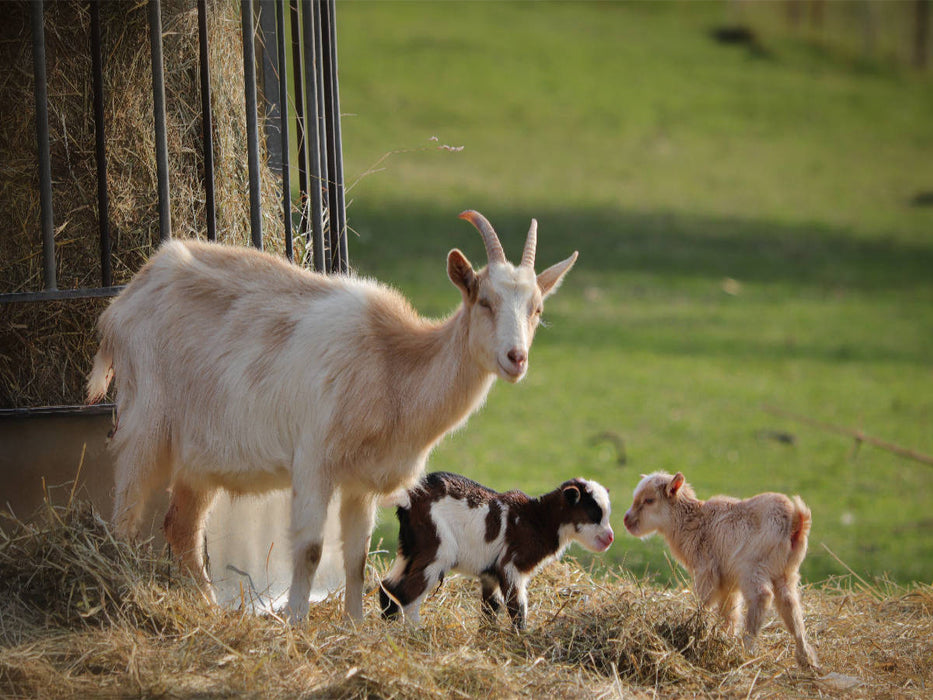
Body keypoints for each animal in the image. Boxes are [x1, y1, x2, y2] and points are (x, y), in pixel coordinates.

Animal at [86, 210, 577, 622]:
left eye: (537, 309)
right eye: (484, 301)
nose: (516, 358)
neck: (392, 364)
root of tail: (121, 304)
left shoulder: (360, 480)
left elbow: (355, 556)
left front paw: (355, 627)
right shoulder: (314, 461)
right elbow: (309, 548)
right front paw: (297, 624)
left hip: (199, 456)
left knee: (181, 528)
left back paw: (209, 609)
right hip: (145, 423)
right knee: (124, 517)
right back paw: (121, 594)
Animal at [379, 471, 614, 629]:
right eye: (594, 513)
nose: (610, 537)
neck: (538, 519)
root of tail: (409, 498)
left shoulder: (489, 574)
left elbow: (491, 610)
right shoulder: (510, 565)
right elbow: (517, 608)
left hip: (410, 548)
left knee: (388, 588)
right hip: (437, 548)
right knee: (408, 596)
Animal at [623, 471, 818, 668]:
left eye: (649, 500)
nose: (626, 520)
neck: (692, 522)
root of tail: (795, 523)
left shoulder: (706, 570)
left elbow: (703, 602)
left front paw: (694, 629)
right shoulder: (727, 582)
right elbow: (729, 612)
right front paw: (723, 637)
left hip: (752, 566)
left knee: (762, 596)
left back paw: (745, 649)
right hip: (785, 572)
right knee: (791, 606)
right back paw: (806, 659)